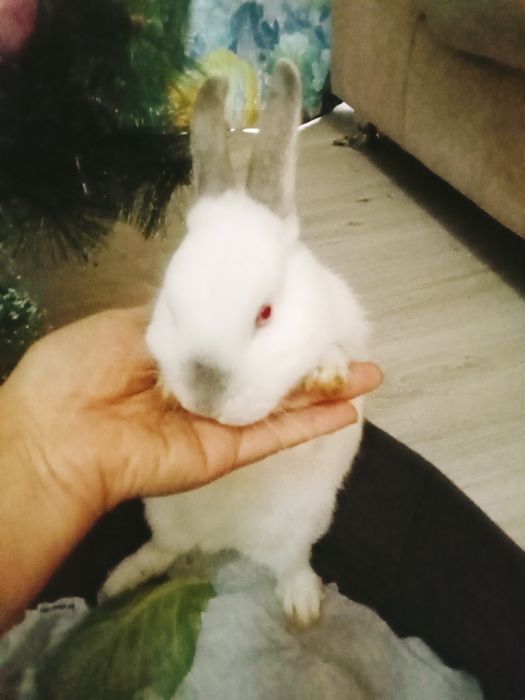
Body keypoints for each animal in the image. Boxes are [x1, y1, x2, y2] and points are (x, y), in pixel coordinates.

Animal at [100, 60, 369, 627]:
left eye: (265, 314)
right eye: (171, 302)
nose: (205, 394)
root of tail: (221, 540)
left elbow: (335, 354)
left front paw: (326, 373)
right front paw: (165, 386)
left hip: (300, 525)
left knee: (292, 564)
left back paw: (302, 608)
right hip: (165, 513)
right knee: (165, 548)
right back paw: (120, 581)